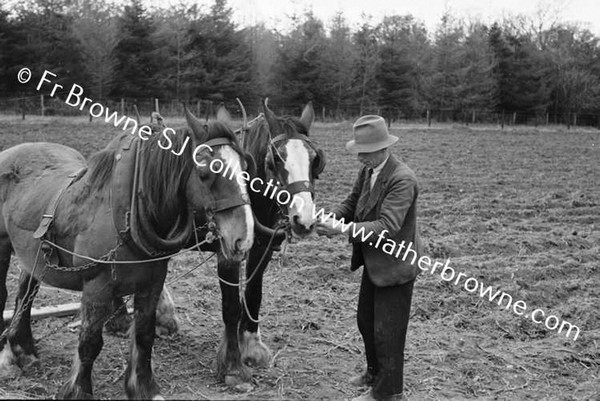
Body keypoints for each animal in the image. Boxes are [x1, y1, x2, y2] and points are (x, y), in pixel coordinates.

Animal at [0, 108, 255, 398]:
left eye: (246, 168)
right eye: (204, 173)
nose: (243, 238)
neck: (125, 212)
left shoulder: (152, 283)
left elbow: (144, 336)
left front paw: (142, 386)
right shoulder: (97, 286)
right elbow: (89, 341)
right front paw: (78, 390)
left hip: (33, 257)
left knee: (25, 294)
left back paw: (22, 350)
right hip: (3, 246)